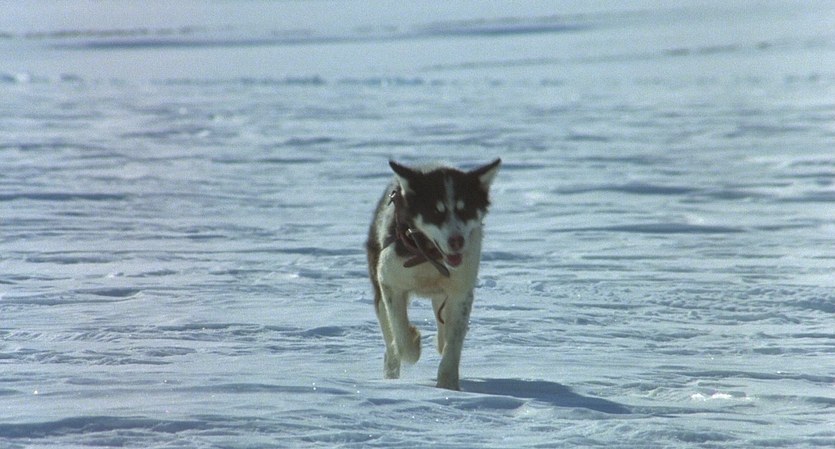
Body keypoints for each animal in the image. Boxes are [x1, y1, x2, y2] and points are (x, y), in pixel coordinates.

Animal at [366, 159, 500, 390]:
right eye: (436, 212)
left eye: (465, 210)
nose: (457, 241)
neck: (430, 256)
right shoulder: (390, 282)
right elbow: (402, 338)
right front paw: (413, 339)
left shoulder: (461, 292)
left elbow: (453, 343)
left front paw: (448, 385)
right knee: (390, 341)